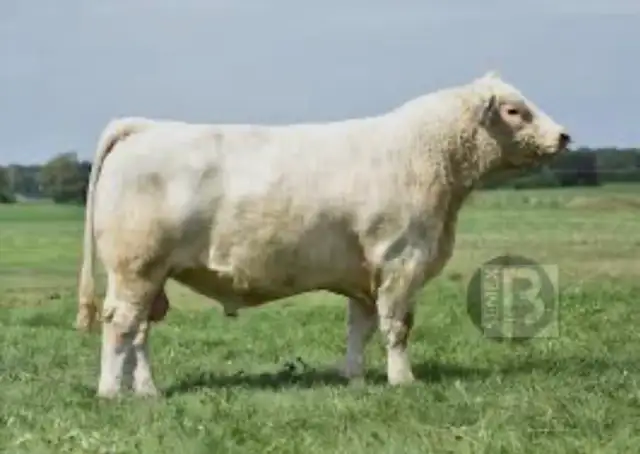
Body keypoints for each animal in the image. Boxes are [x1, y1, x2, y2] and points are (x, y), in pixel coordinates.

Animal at [76, 71, 571, 397]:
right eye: (514, 109)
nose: (564, 136)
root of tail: (144, 126)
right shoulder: (401, 260)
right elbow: (397, 326)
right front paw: (403, 380)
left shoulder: (365, 273)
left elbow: (360, 327)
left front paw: (354, 378)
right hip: (136, 267)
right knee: (121, 324)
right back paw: (110, 392)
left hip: (150, 275)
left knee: (140, 331)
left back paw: (147, 391)